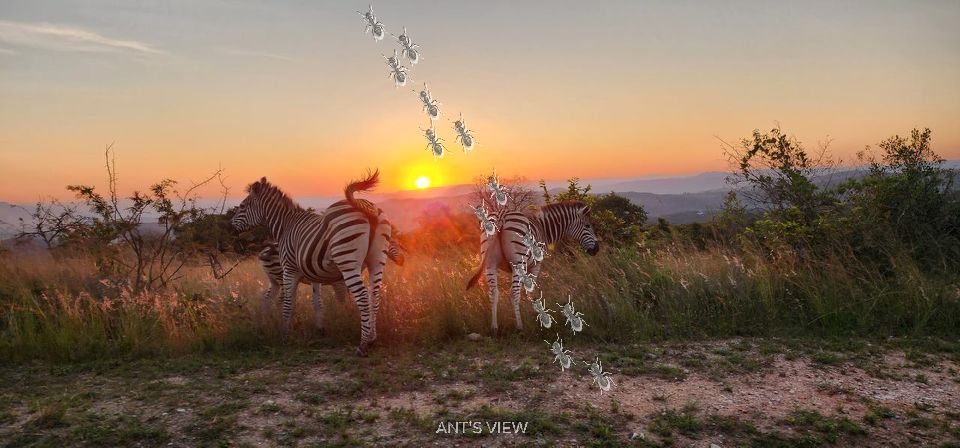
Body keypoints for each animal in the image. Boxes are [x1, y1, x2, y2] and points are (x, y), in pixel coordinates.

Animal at [231, 170, 383, 355]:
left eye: (242, 206)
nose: (231, 224)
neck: (285, 225)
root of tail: (364, 207)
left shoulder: (290, 269)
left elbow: (288, 303)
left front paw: (285, 335)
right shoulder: (313, 272)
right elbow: (317, 302)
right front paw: (320, 329)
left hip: (346, 261)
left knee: (362, 296)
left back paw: (363, 344)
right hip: (376, 261)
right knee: (374, 295)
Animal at [257, 214, 404, 329]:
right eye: (392, 243)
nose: (402, 261)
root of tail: (266, 251)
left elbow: (347, 299)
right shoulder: (339, 281)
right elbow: (343, 300)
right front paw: (345, 318)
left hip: (274, 280)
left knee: (266, 299)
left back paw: (266, 322)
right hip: (283, 277)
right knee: (279, 300)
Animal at [466, 201, 599, 331]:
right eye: (587, 226)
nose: (596, 250)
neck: (543, 229)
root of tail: (501, 215)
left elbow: (525, 291)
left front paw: (527, 312)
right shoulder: (535, 266)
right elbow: (529, 291)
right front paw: (534, 314)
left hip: (490, 263)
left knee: (493, 292)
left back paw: (494, 327)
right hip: (518, 263)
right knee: (514, 293)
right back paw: (519, 326)